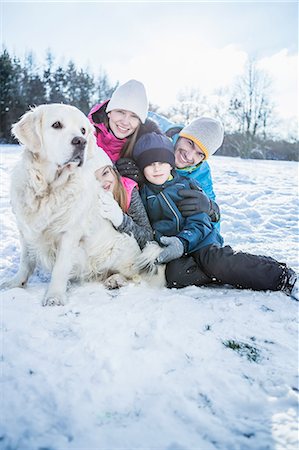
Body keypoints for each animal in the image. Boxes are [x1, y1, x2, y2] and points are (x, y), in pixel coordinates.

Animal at [0, 103, 164, 304]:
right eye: (56, 124)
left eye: (83, 130)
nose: (81, 142)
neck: (49, 189)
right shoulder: (25, 229)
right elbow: (25, 260)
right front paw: (16, 283)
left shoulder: (69, 232)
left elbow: (61, 267)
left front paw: (54, 296)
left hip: (124, 244)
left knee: (134, 275)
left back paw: (115, 280)